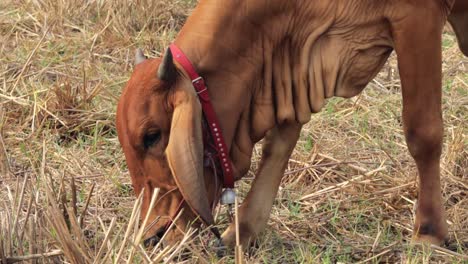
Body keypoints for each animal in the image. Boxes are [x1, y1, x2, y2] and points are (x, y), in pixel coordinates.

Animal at [115, 0, 466, 248]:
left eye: (152, 135)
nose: (152, 237)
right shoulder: (298, 69)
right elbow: (278, 146)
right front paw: (244, 230)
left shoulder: (417, 18)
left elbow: (422, 133)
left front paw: (429, 233)